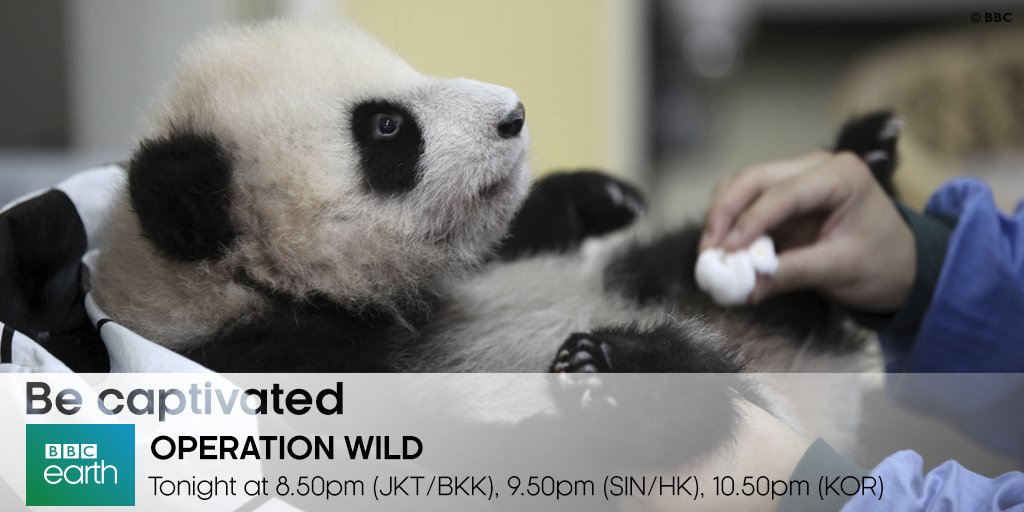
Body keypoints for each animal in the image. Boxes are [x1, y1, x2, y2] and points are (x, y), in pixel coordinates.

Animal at [92, 20, 897, 466]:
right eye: (387, 127)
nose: (514, 114)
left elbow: (511, 245)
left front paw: (592, 197)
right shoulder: (269, 372)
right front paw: (623, 391)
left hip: (641, 277)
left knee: (682, 265)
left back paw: (850, 179)